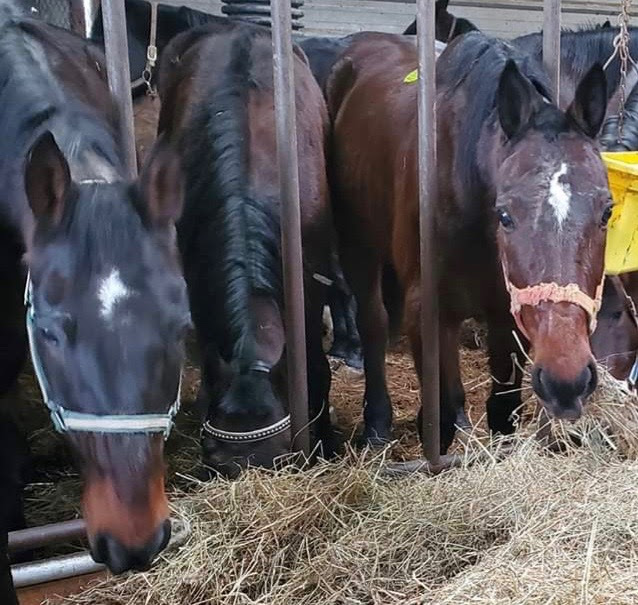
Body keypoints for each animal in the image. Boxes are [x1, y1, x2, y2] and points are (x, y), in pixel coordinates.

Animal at [328, 33, 612, 448]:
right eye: (505, 215)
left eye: (607, 211)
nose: (567, 381)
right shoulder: (428, 315)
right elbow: (443, 414)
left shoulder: (509, 315)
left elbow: (503, 411)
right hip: (357, 246)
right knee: (373, 323)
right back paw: (377, 424)